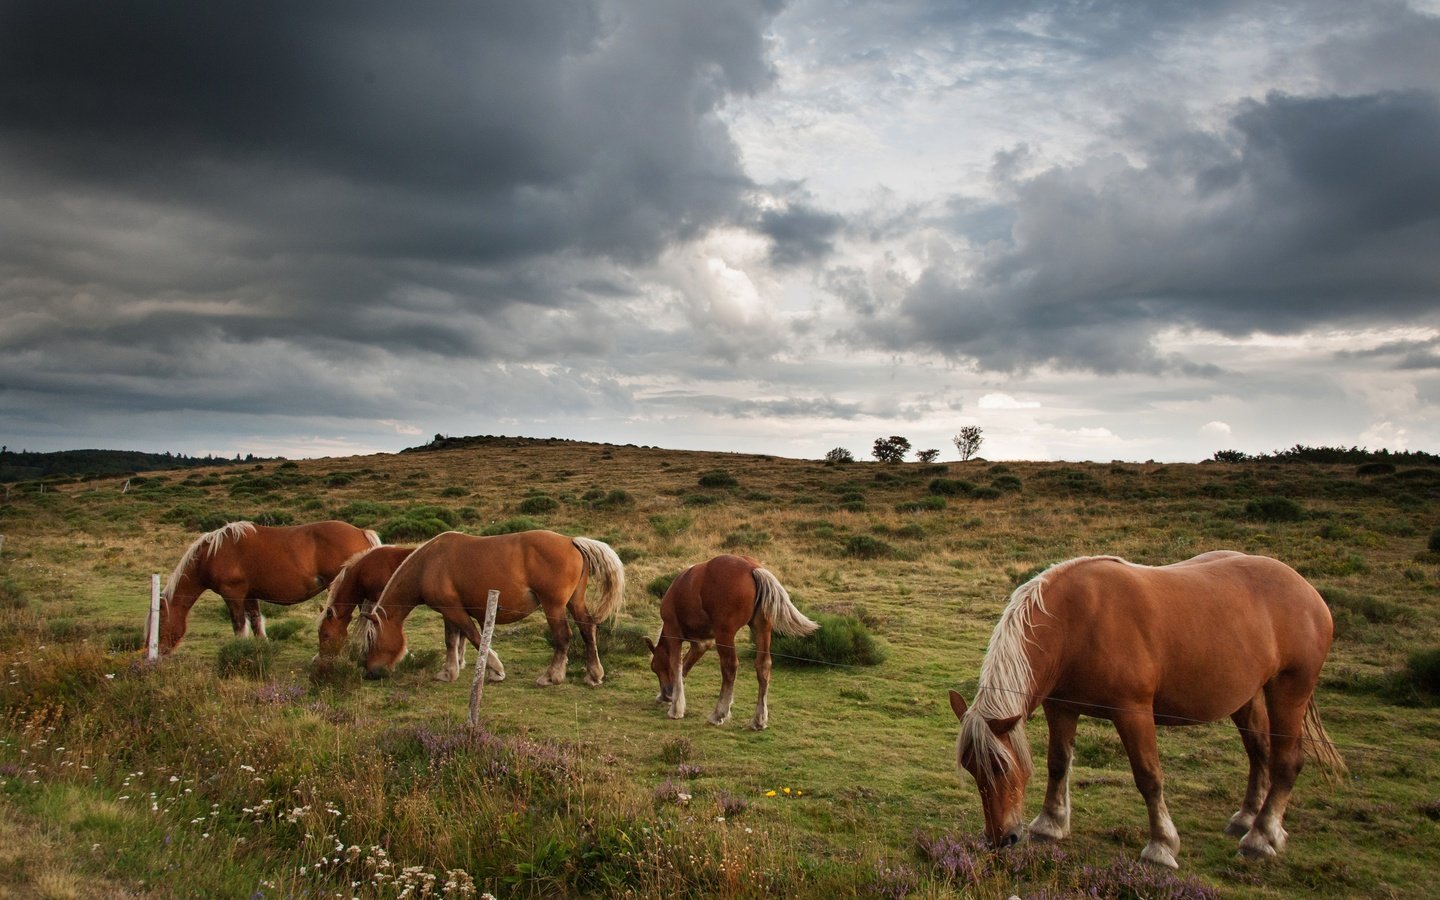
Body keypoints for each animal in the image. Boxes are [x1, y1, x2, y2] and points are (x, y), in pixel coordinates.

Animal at [160, 518, 380, 653]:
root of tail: (361, 532)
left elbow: (239, 624)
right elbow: (256, 621)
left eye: (160, 623)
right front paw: (261, 649)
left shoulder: (233, 594)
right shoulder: (250, 595)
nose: (158, 654)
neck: (213, 553)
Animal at [360, 529, 624, 685]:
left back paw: (552, 676)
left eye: (371, 640)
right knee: (587, 629)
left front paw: (495, 669)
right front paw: (449, 672)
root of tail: (572, 541)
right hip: (574, 602)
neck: (429, 563)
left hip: (554, 606)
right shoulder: (448, 612)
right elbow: (451, 641)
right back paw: (594, 674)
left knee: (563, 637)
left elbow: (475, 637)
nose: (370, 671)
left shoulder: (454, 610)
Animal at [645, 555, 817, 731]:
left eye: (654, 667)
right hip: (762, 629)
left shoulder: (673, 633)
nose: (666, 694)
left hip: (725, 634)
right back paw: (759, 720)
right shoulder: (702, 643)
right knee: (763, 666)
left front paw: (676, 708)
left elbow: (676, 665)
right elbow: (685, 666)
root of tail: (752, 568)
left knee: (730, 667)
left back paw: (719, 713)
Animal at [950, 550, 1342, 869]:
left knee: (1285, 761)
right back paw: (1246, 819)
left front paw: (1161, 847)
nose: (1002, 839)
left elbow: (1148, 776)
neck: (1075, 623)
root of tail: (1308, 591)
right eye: (971, 769)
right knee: (1258, 752)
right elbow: (1058, 763)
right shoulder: (1061, 707)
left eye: (1001, 768)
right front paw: (1050, 824)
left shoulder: (1133, 712)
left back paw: (1261, 837)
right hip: (1248, 696)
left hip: (1289, 691)